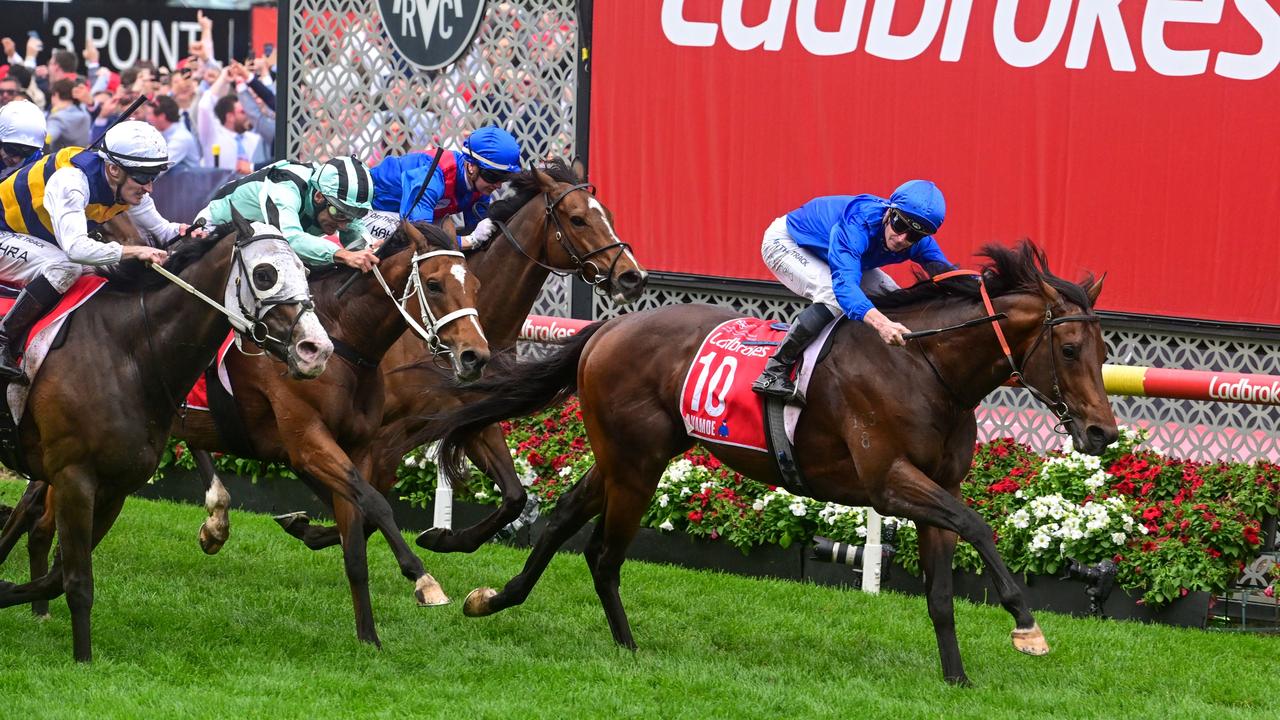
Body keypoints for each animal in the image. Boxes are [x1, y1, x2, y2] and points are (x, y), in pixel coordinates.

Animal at [0, 210, 332, 661]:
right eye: (265, 274)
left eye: (306, 270)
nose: (317, 350)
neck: (127, 354)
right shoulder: (74, 478)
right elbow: (77, 582)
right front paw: (83, 658)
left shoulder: (115, 487)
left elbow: (58, 577)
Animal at [244, 161, 645, 556]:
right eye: (578, 219)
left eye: (608, 214)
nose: (632, 277)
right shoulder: (384, 433)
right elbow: (368, 497)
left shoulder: (470, 417)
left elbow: (514, 496)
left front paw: (444, 537)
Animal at [427, 242, 1111, 681]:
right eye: (1069, 348)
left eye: (1104, 350)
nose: (1102, 431)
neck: (925, 366)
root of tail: (606, 329)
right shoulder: (888, 483)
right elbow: (979, 525)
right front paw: (1026, 622)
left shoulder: (932, 486)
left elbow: (942, 592)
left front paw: (958, 681)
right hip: (636, 465)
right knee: (602, 552)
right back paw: (627, 646)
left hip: (630, 457)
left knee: (566, 516)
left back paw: (492, 598)